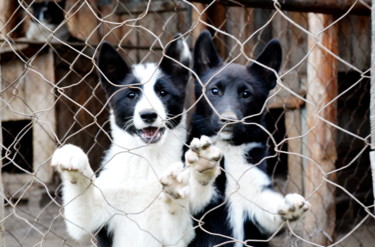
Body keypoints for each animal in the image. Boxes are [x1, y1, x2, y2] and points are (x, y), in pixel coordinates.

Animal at [52, 35, 223, 247]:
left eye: (163, 93)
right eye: (131, 95)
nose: (148, 115)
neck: (146, 158)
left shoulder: (178, 237)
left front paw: (196, 170)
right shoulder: (91, 220)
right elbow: (82, 207)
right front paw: (72, 159)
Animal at [189, 30, 310, 247]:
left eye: (246, 94)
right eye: (214, 91)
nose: (228, 120)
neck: (229, 148)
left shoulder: (257, 200)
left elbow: (269, 210)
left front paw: (289, 206)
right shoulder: (197, 213)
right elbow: (199, 189)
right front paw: (203, 164)